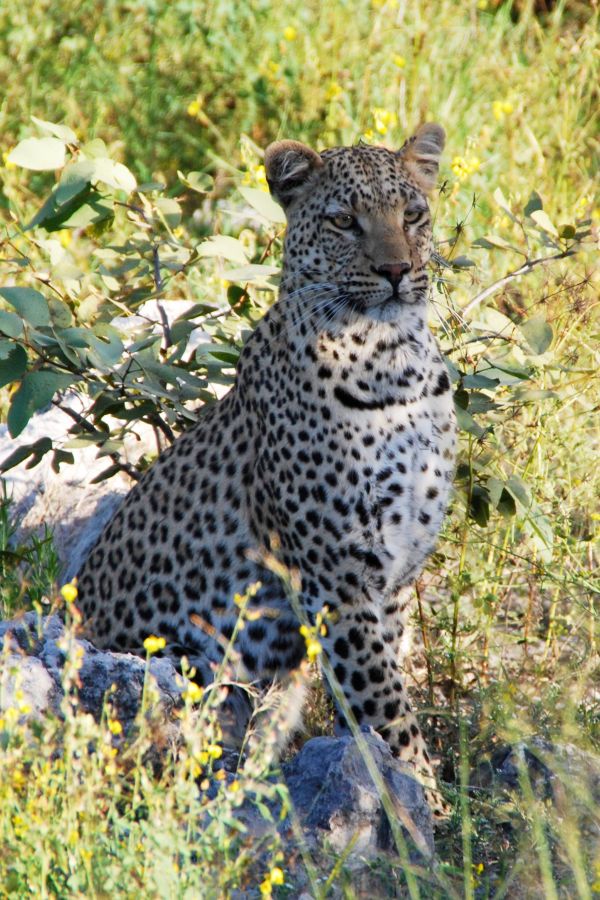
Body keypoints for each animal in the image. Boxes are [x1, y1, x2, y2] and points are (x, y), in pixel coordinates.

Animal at [77, 121, 458, 816]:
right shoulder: (338, 579)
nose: (397, 271)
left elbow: (384, 691)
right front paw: (429, 805)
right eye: (344, 221)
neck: (396, 365)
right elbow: (386, 705)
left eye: (413, 215)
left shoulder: (392, 580)